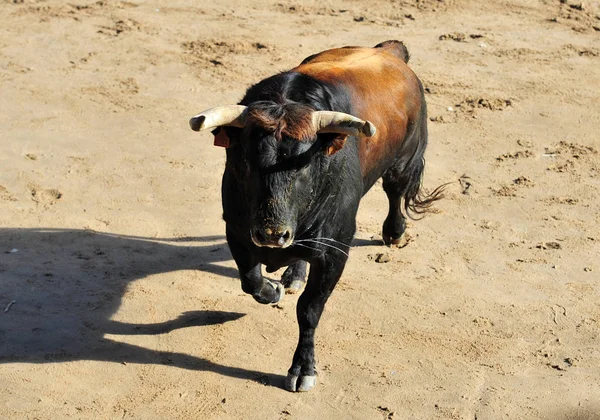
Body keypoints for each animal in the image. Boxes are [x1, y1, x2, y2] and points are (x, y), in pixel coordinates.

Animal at [190, 41, 442, 392]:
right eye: (244, 160)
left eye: (305, 164)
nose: (272, 235)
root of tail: (389, 51)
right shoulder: (238, 232)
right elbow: (250, 282)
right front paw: (273, 290)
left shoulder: (335, 251)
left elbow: (310, 309)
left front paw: (303, 368)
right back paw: (294, 274)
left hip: (405, 158)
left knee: (395, 189)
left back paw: (394, 233)